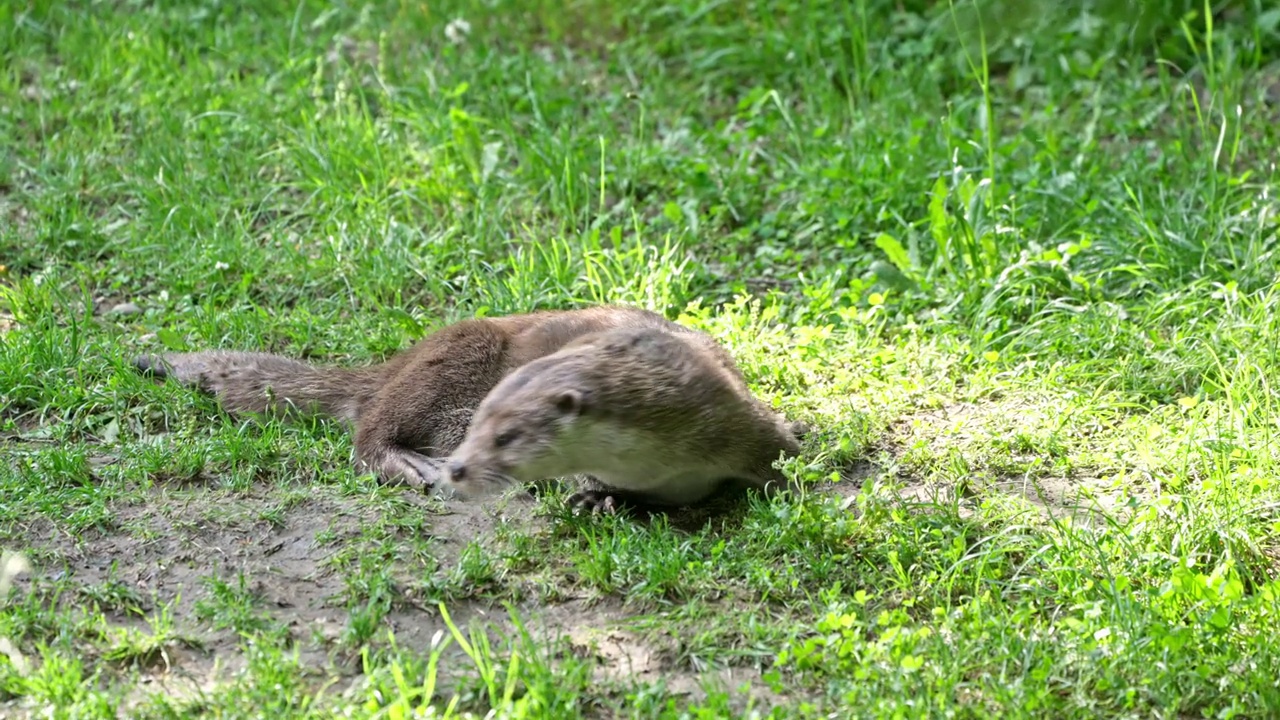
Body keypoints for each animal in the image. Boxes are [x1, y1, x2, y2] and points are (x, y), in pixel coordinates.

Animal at [440, 319, 798, 509]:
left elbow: (778, 450)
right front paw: (596, 500)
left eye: (505, 437)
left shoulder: (731, 417)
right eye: (473, 427)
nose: (456, 468)